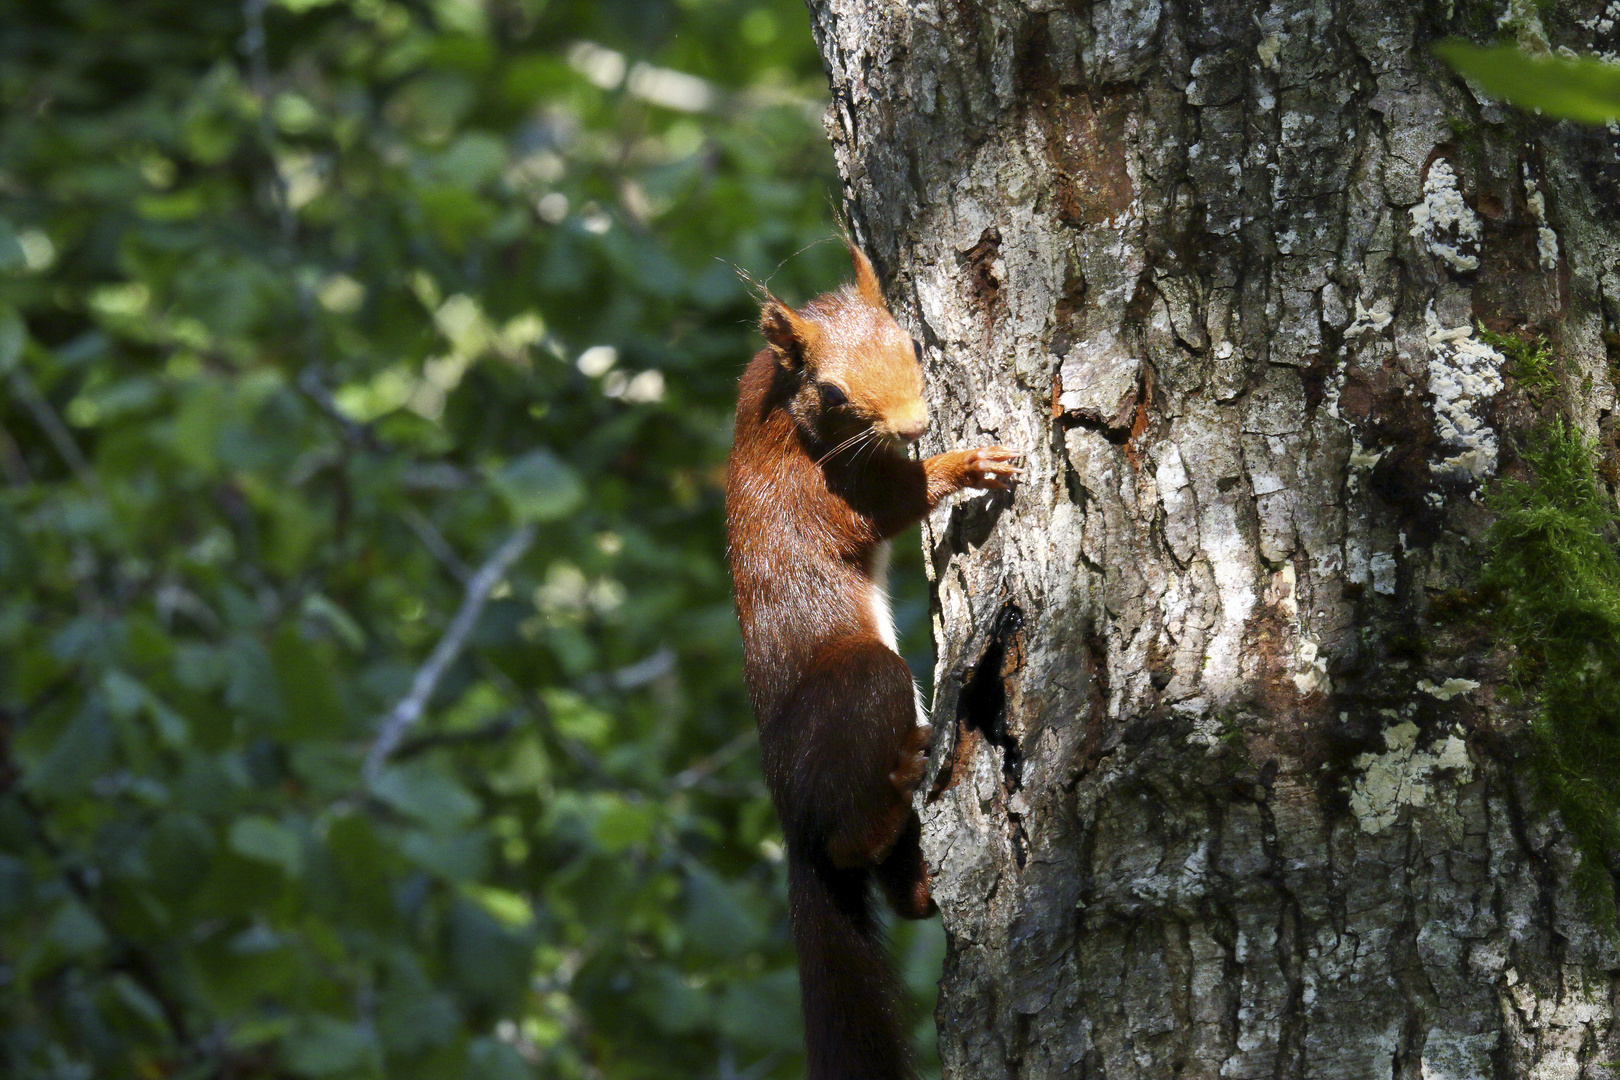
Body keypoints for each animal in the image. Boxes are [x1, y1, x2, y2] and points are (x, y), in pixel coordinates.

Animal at [729, 244, 1017, 1080]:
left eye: (912, 345)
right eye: (831, 389)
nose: (917, 422)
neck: (782, 411)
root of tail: (790, 814)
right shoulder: (818, 493)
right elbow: (891, 505)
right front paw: (968, 462)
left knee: (898, 894)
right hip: (865, 689)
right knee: (848, 842)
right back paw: (887, 806)